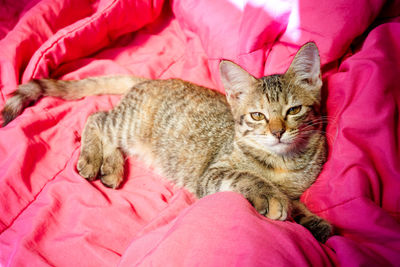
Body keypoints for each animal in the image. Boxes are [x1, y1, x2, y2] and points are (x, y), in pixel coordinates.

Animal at [0, 42, 332, 243]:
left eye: (293, 110)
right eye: (257, 115)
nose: (277, 132)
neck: (283, 162)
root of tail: (149, 81)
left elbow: (295, 202)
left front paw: (313, 222)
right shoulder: (211, 175)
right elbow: (247, 176)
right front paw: (271, 196)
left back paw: (112, 168)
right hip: (129, 125)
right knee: (97, 117)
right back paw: (93, 159)